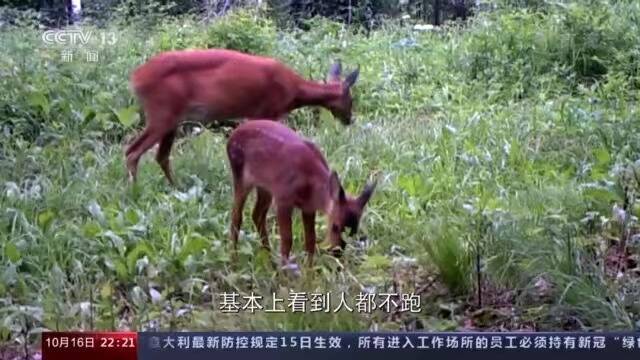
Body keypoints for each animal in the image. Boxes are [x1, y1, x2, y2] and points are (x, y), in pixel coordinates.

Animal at [124, 47, 360, 186]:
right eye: (351, 99)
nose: (349, 119)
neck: (294, 90)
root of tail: (136, 78)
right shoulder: (269, 111)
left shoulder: (252, 115)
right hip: (161, 113)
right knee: (132, 151)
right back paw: (135, 190)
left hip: (172, 118)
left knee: (160, 156)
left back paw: (176, 188)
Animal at [226, 119, 376, 268]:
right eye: (335, 226)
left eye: (354, 231)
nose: (337, 253)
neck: (310, 184)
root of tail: (232, 136)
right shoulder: (283, 198)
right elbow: (287, 239)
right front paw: (285, 270)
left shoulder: (308, 207)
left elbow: (310, 240)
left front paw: (308, 270)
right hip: (240, 175)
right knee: (236, 216)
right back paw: (234, 260)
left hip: (265, 187)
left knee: (257, 214)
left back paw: (269, 258)